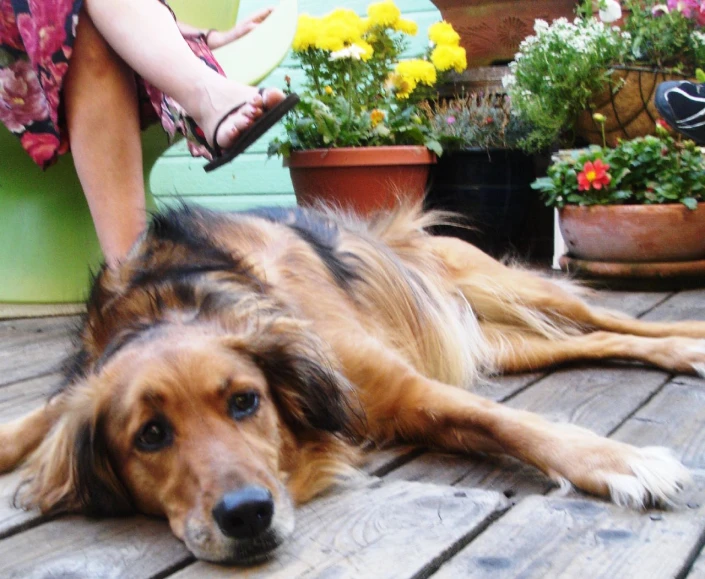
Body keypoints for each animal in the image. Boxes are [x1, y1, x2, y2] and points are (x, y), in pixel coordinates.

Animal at [0, 204, 700, 560]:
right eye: (149, 436)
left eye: (245, 401)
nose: (246, 515)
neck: (174, 300)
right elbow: (31, 421)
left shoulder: (404, 388)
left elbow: (510, 421)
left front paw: (620, 461)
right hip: (508, 348)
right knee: (598, 342)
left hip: (503, 285)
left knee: (612, 320)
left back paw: (690, 341)